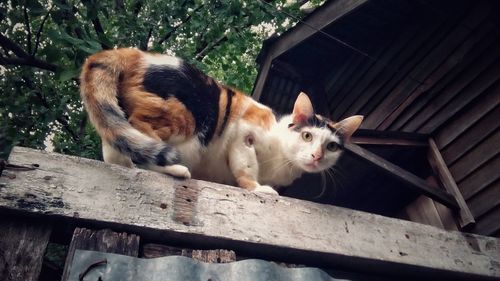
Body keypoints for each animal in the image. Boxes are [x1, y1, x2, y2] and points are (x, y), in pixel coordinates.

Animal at [82, 48, 364, 194]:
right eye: (307, 136)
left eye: (331, 146)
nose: (316, 155)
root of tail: (131, 53)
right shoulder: (244, 135)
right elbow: (246, 168)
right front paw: (257, 188)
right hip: (184, 117)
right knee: (142, 136)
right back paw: (175, 169)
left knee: (117, 145)